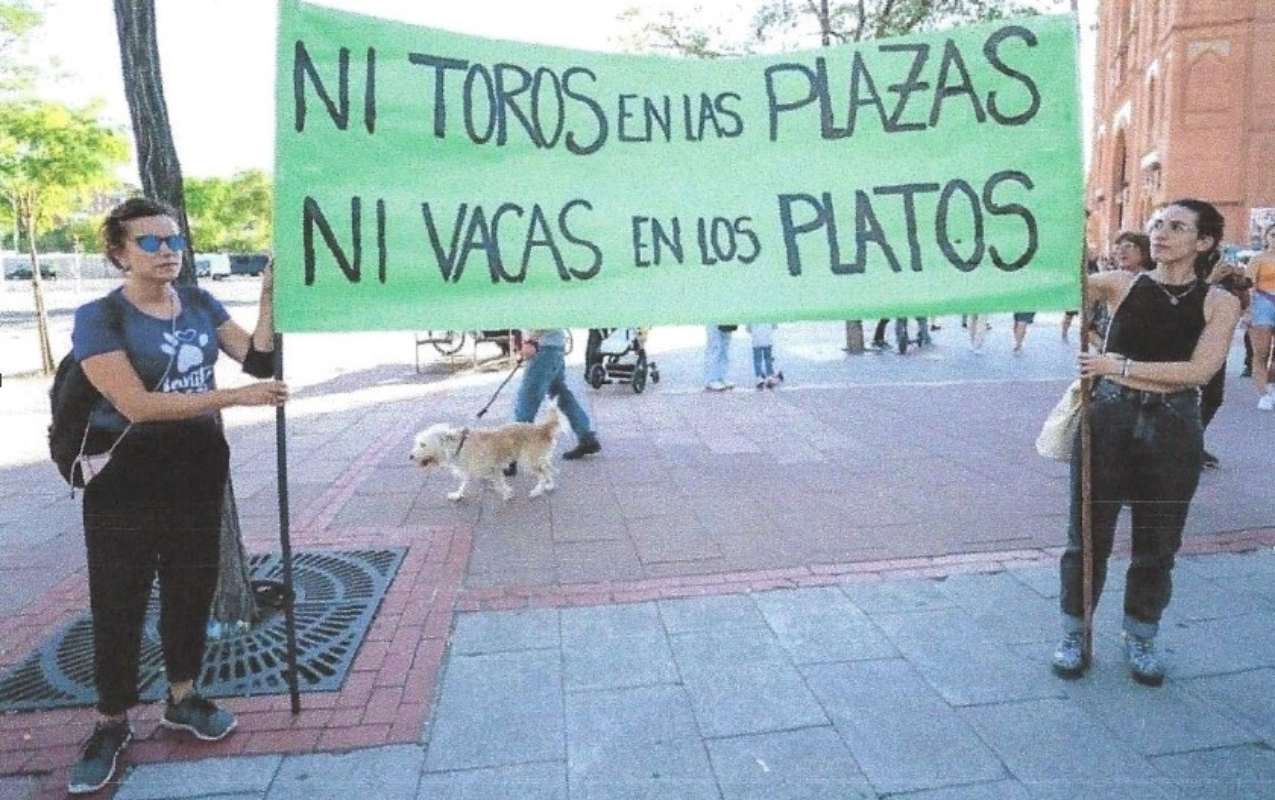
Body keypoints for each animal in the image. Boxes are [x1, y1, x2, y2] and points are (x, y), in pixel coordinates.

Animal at [410, 405, 561, 500]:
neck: (459, 445)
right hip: (539, 459)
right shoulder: (470, 468)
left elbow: (498, 483)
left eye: (423, 444)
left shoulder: (493, 468)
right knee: (548, 470)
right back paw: (550, 485)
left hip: (529, 462)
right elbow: (464, 483)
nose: (410, 456)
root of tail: (541, 429)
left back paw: (537, 491)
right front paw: (457, 495)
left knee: (542, 475)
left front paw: (507, 494)